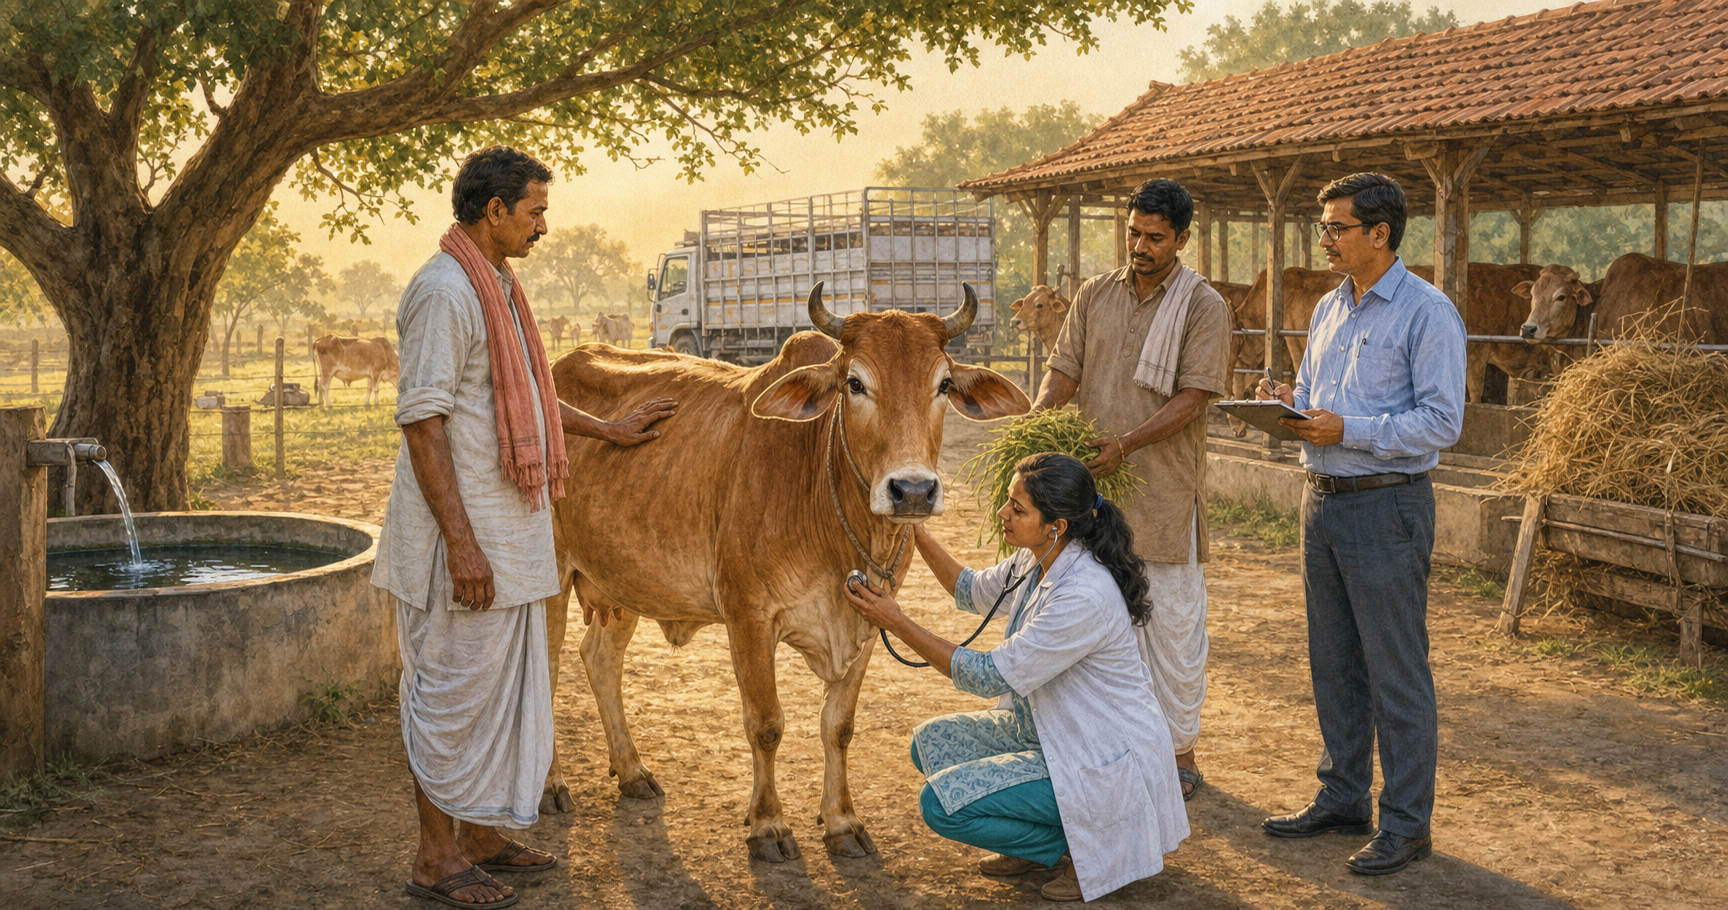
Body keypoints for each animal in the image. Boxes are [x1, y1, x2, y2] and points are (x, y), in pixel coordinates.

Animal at [540, 285, 1029, 863]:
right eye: (855, 383)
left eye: (944, 384)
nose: (912, 490)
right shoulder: (748, 617)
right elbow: (766, 725)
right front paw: (768, 825)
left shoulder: (868, 621)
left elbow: (839, 727)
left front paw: (842, 821)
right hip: (549, 577)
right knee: (543, 675)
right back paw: (550, 786)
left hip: (623, 582)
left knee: (600, 660)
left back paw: (632, 770)